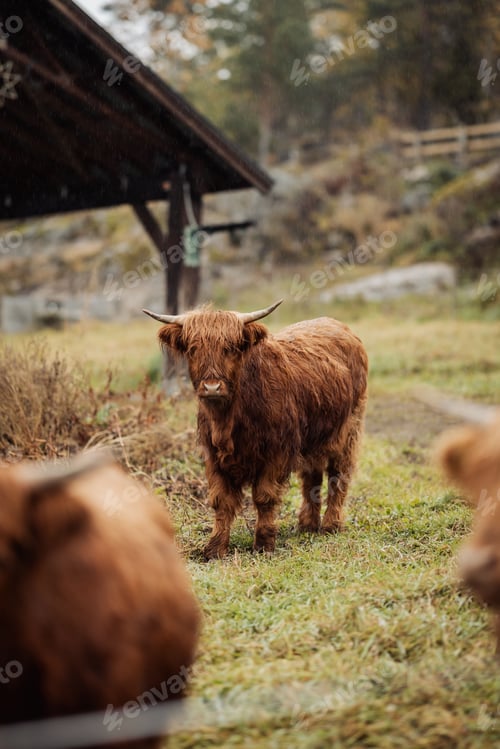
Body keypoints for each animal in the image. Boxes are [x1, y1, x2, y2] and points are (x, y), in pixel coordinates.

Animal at [144, 300, 368, 560]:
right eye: (192, 348)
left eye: (230, 348)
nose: (212, 387)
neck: (229, 418)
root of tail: (339, 326)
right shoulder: (213, 456)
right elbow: (221, 501)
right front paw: (214, 549)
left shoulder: (277, 453)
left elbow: (264, 497)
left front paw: (263, 545)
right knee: (311, 477)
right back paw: (307, 525)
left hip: (348, 430)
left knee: (338, 475)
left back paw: (331, 525)